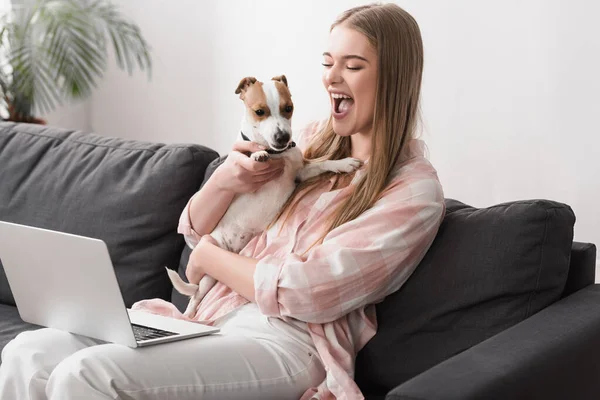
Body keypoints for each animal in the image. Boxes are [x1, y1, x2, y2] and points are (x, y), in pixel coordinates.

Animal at [166, 76, 358, 318]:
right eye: (259, 111)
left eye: (288, 108)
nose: (283, 137)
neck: (278, 155)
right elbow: (252, 153)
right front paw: (257, 153)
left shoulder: (301, 173)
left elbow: (323, 163)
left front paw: (344, 163)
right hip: (210, 265)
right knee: (195, 296)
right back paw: (187, 315)